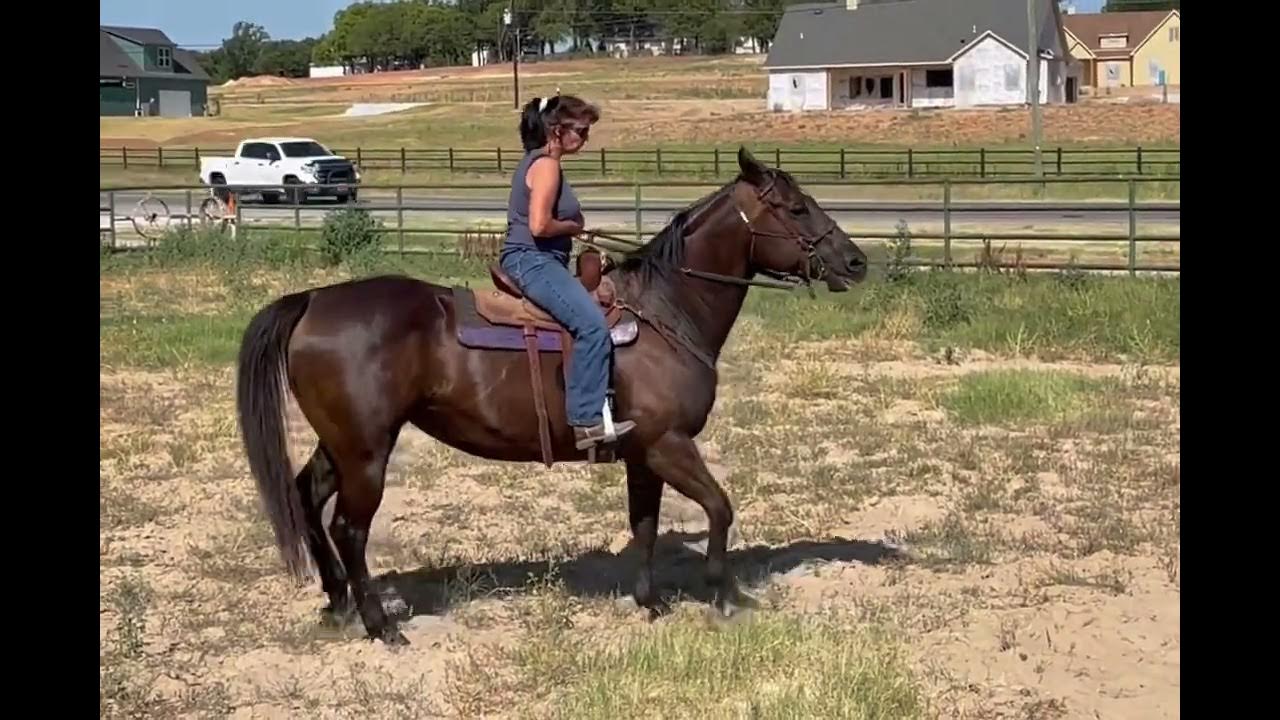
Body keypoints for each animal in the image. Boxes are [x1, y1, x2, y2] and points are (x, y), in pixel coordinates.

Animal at [235, 147, 869, 645]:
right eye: (796, 208)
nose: (857, 261)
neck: (665, 312)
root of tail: (313, 300)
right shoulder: (670, 444)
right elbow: (719, 508)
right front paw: (725, 595)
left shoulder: (643, 453)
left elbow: (645, 525)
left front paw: (649, 602)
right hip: (366, 451)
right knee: (350, 528)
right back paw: (379, 625)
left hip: (342, 444)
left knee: (305, 497)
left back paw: (336, 602)